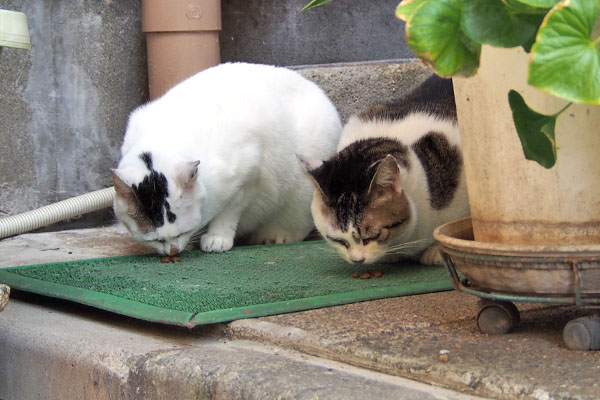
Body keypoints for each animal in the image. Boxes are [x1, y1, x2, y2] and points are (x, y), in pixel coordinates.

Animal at [110, 63, 340, 256]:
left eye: (182, 232)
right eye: (155, 240)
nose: (173, 251)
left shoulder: (247, 178)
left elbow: (227, 213)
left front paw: (217, 238)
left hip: (302, 193)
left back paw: (274, 236)